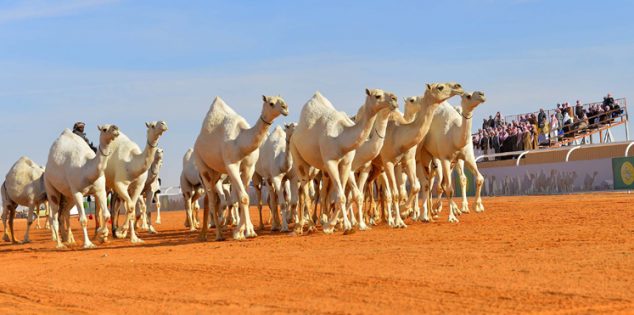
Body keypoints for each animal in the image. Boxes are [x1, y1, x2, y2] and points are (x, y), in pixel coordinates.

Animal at [191, 95, 288, 241]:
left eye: (282, 100)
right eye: (271, 103)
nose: (285, 108)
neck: (241, 142)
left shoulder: (249, 168)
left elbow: (244, 198)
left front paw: (243, 231)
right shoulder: (231, 165)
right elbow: (243, 198)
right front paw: (244, 232)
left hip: (216, 173)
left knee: (209, 199)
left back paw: (203, 235)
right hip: (202, 166)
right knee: (212, 200)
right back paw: (218, 235)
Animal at [290, 89, 396, 235]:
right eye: (377, 95)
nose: (394, 99)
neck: (341, 140)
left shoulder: (350, 165)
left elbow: (352, 195)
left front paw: (350, 224)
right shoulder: (333, 163)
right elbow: (343, 196)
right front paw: (344, 225)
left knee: (318, 193)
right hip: (297, 155)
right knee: (306, 192)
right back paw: (309, 225)